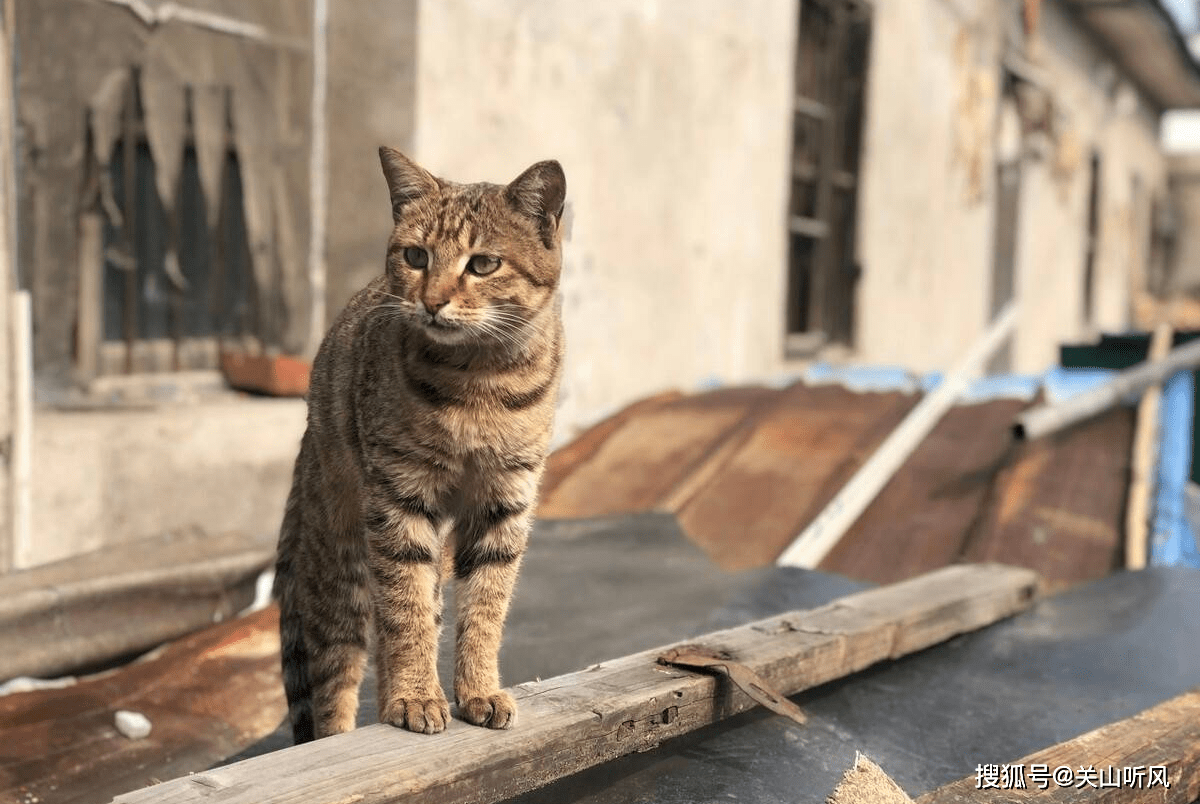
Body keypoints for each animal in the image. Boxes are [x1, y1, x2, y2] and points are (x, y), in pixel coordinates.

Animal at [276, 146, 566, 744]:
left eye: (483, 264)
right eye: (415, 256)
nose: (432, 302)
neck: (479, 382)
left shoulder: (505, 502)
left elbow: (484, 608)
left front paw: (477, 691)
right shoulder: (400, 494)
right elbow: (405, 613)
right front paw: (416, 697)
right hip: (340, 562)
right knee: (340, 671)